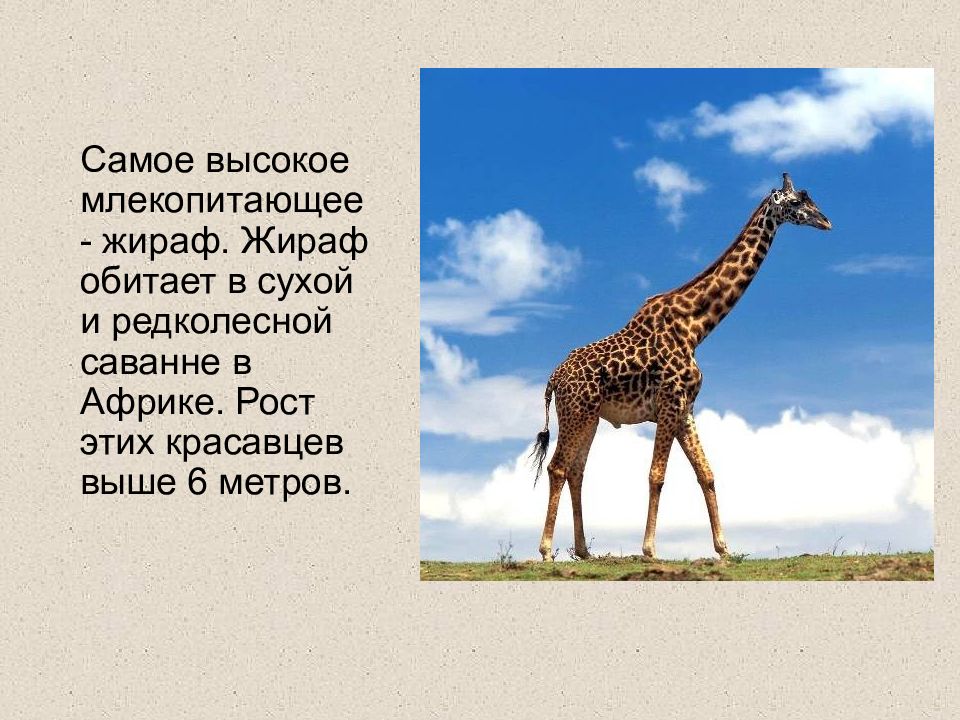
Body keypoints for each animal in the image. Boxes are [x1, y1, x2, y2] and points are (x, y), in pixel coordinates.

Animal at [530, 173, 831, 561]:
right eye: (796, 202)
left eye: (810, 198)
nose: (826, 221)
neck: (697, 327)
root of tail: (553, 378)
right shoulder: (670, 403)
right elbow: (656, 474)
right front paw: (649, 549)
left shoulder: (685, 408)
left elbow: (707, 473)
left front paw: (723, 548)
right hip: (576, 412)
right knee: (558, 467)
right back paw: (546, 551)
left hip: (589, 416)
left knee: (576, 471)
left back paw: (583, 551)